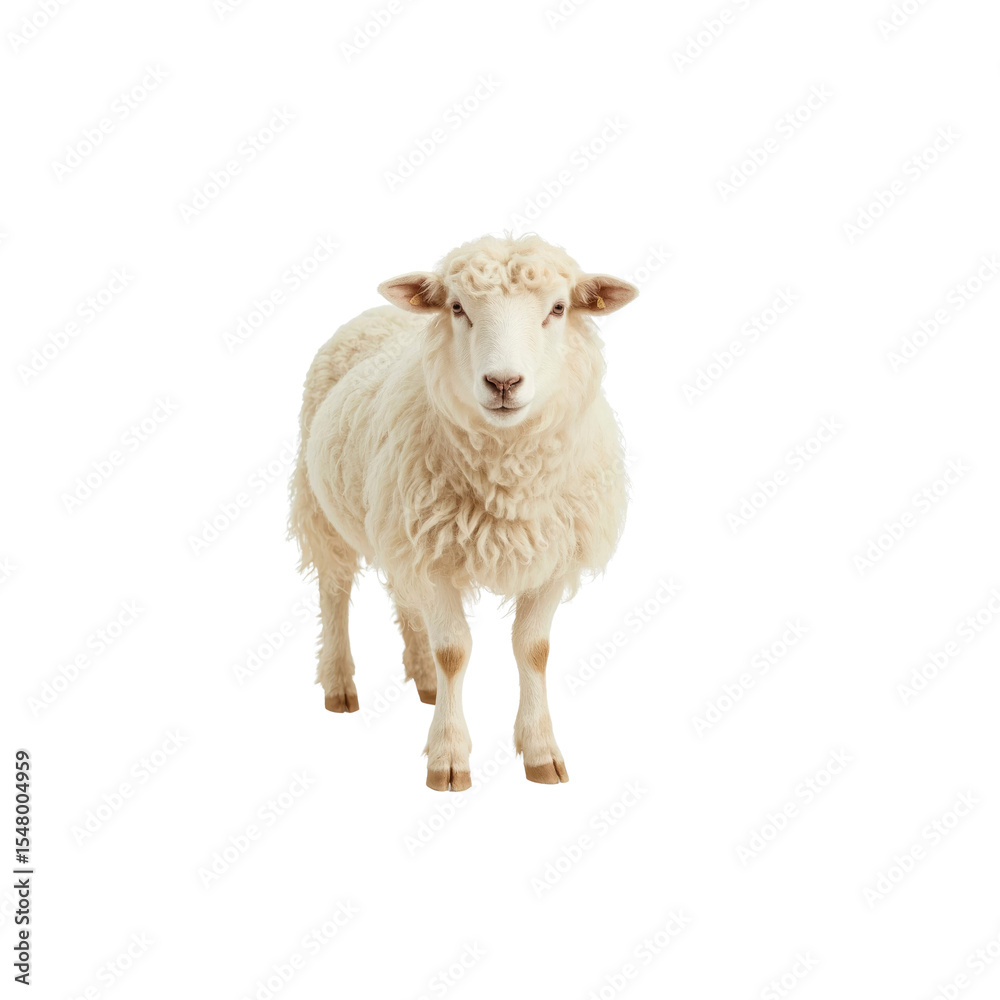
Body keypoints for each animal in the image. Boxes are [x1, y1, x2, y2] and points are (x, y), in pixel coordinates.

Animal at [289, 234, 637, 790]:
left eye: (558, 309)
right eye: (457, 308)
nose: (503, 383)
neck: (507, 478)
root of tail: (378, 312)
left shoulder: (550, 559)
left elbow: (533, 650)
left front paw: (541, 751)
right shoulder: (434, 558)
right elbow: (454, 652)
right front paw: (448, 757)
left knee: (404, 599)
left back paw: (424, 680)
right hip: (321, 505)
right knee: (334, 590)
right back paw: (340, 684)